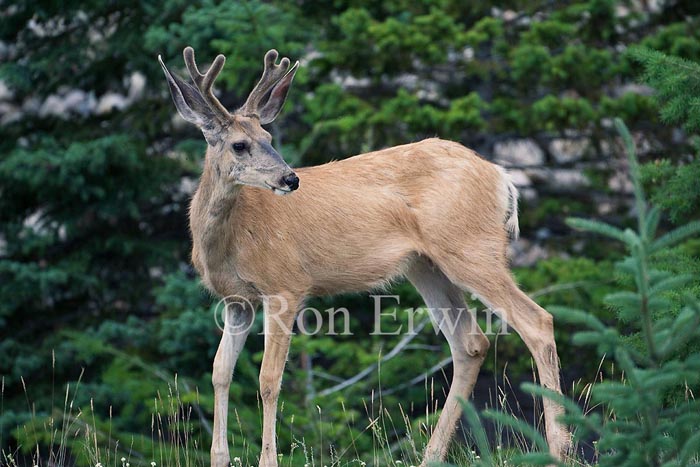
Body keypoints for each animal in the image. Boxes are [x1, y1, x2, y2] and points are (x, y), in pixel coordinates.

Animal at [158, 47, 571, 467]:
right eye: (240, 144)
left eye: (269, 137)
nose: (290, 178)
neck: (232, 238)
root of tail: (503, 177)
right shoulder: (237, 299)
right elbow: (219, 372)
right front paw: (219, 458)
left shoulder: (285, 286)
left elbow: (268, 379)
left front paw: (268, 460)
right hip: (426, 265)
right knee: (471, 342)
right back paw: (431, 455)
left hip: (471, 248)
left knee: (536, 321)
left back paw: (560, 449)